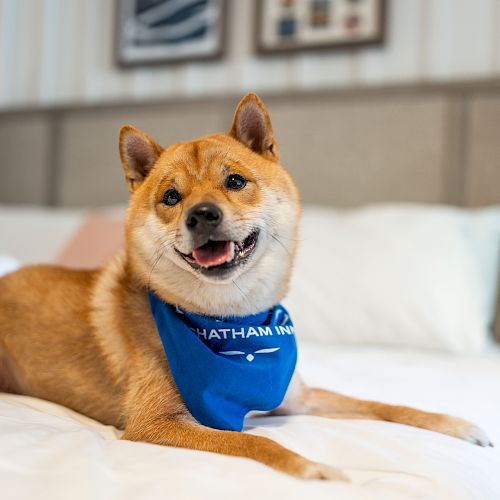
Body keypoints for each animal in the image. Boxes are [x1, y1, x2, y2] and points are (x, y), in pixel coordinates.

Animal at [0, 94, 492, 480]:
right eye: (171, 197)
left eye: (235, 181)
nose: (201, 215)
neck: (232, 321)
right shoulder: (155, 423)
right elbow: (258, 443)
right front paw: (312, 468)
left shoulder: (299, 397)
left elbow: (382, 404)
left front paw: (457, 424)